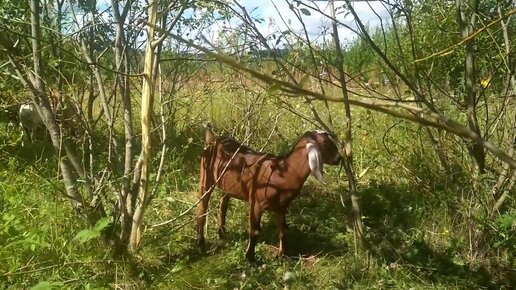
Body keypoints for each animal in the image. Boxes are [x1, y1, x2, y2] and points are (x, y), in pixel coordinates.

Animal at [197, 125, 342, 262]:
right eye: (325, 143)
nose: (339, 158)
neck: (282, 173)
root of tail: (213, 139)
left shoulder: (282, 207)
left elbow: (283, 229)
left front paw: (282, 254)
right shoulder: (256, 203)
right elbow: (255, 231)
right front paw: (250, 257)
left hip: (226, 185)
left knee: (223, 206)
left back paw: (222, 234)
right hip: (205, 178)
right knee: (202, 208)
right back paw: (201, 244)